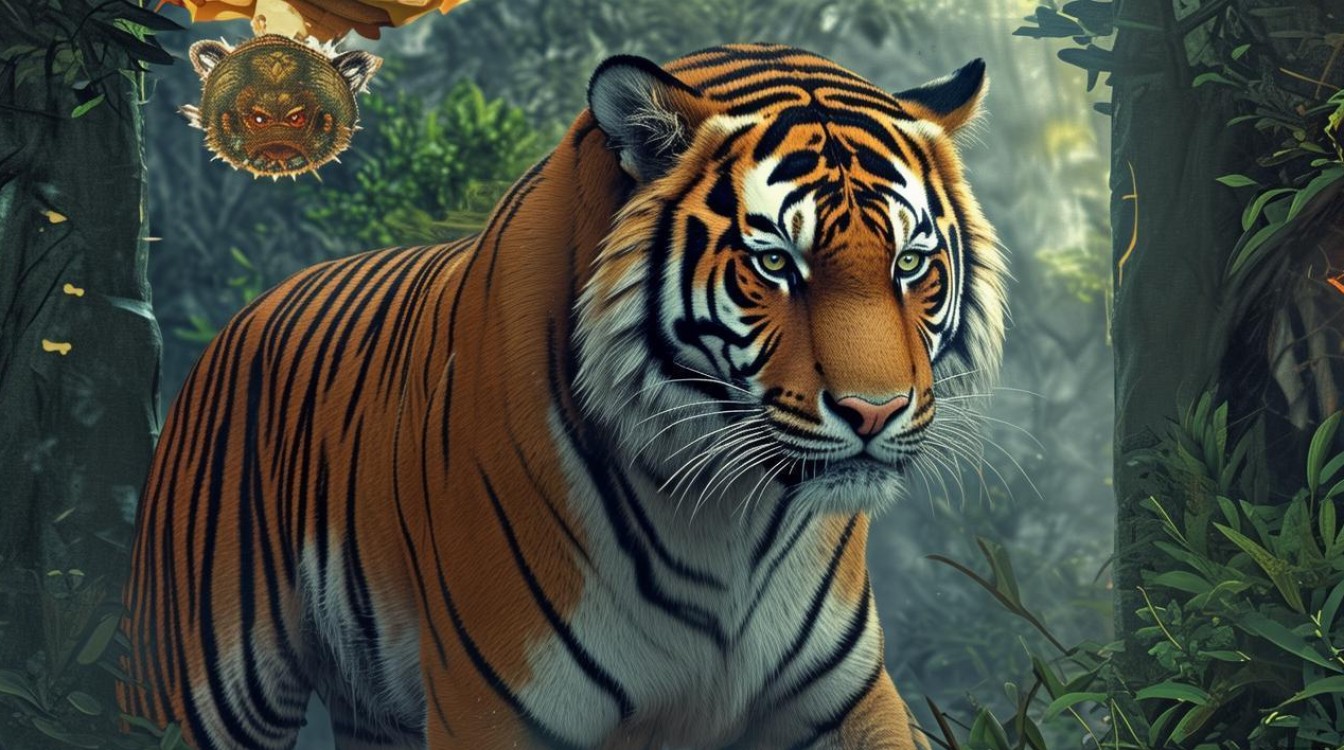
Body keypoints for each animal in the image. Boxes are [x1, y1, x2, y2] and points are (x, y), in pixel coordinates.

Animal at [120, 43, 1007, 750]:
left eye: (910, 264)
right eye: (776, 264)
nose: (875, 412)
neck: (729, 520)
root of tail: (248, 314)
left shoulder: (845, 698)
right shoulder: (499, 706)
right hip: (196, 692)